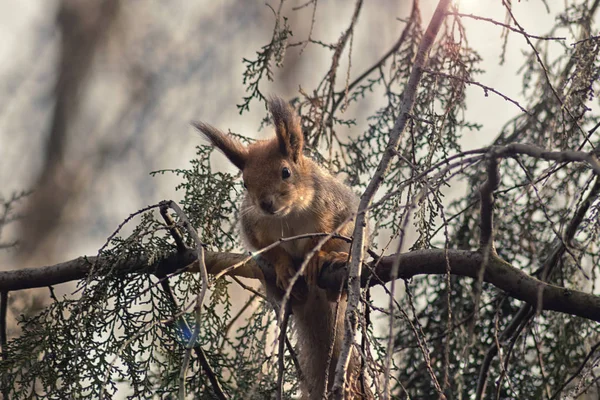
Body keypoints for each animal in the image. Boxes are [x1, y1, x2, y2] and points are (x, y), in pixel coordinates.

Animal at [195, 97, 370, 400]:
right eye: (245, 183)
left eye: (285, 172)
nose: (265, 204)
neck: (288, 215)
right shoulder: (254, 228)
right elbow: (270, 251)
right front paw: (285, 268)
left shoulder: (336, 211)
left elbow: (324, 237)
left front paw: (317, 256)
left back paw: (336, 265)